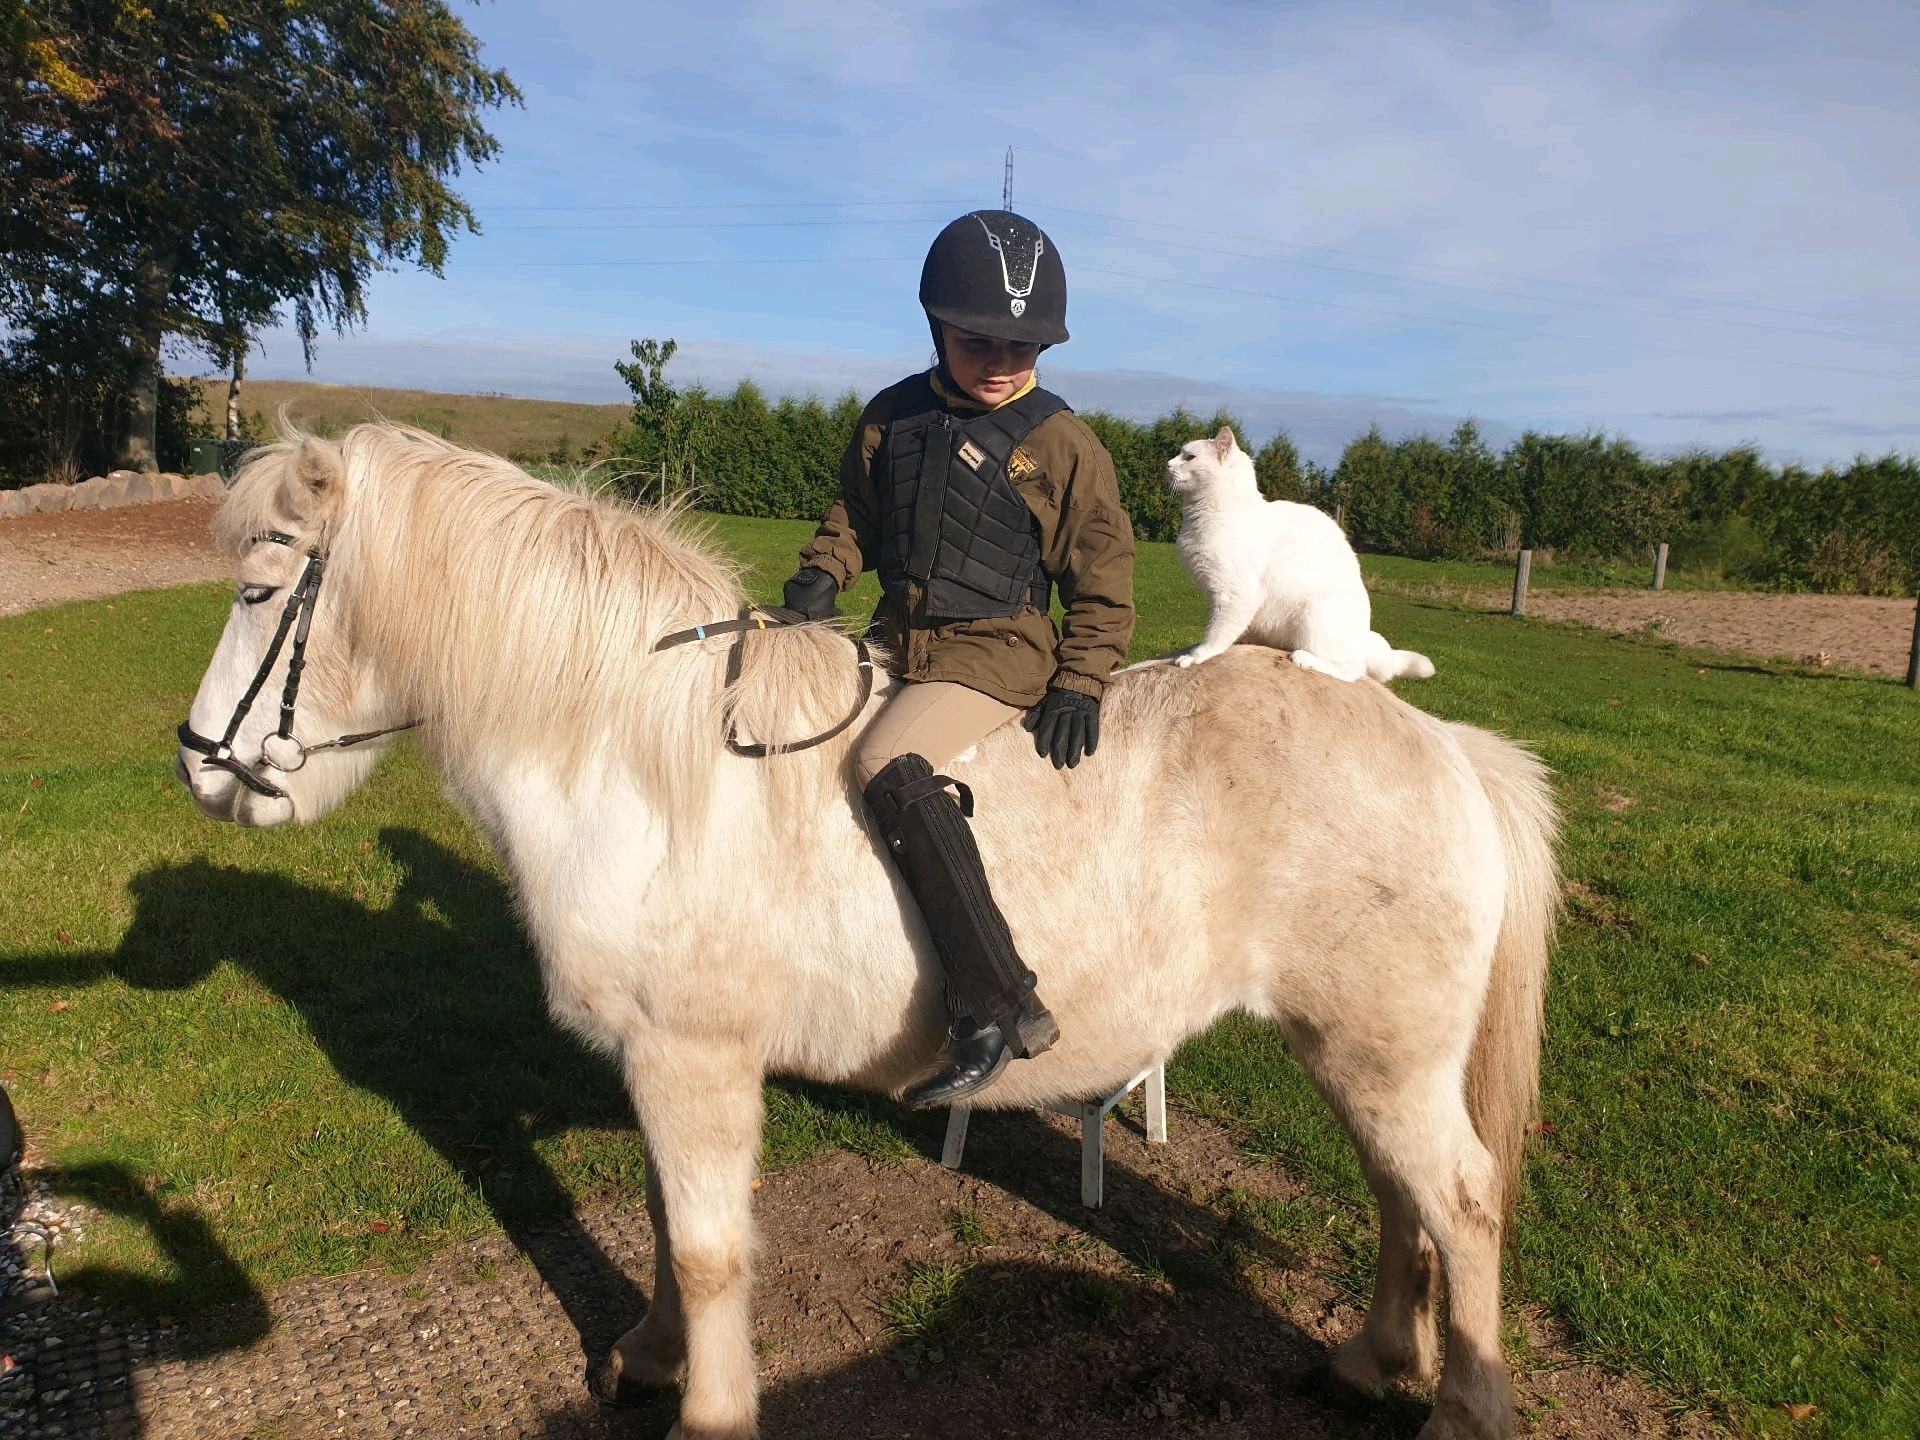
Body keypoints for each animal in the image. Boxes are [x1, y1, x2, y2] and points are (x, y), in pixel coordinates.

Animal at [174, 425, 1558, 1440]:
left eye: (256, 588)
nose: (198, 767)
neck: (637, 759)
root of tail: (1442, 743)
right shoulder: (661, 1062)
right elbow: (669, 1227)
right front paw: (649, 1357)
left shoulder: (693, 1059)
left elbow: (711, 1252)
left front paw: (708, 1409)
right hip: (1361, 1050)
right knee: (1401, 1194)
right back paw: (1375, 1359)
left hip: (1384, 1054)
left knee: (1459, 1199)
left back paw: (1460, 1410)